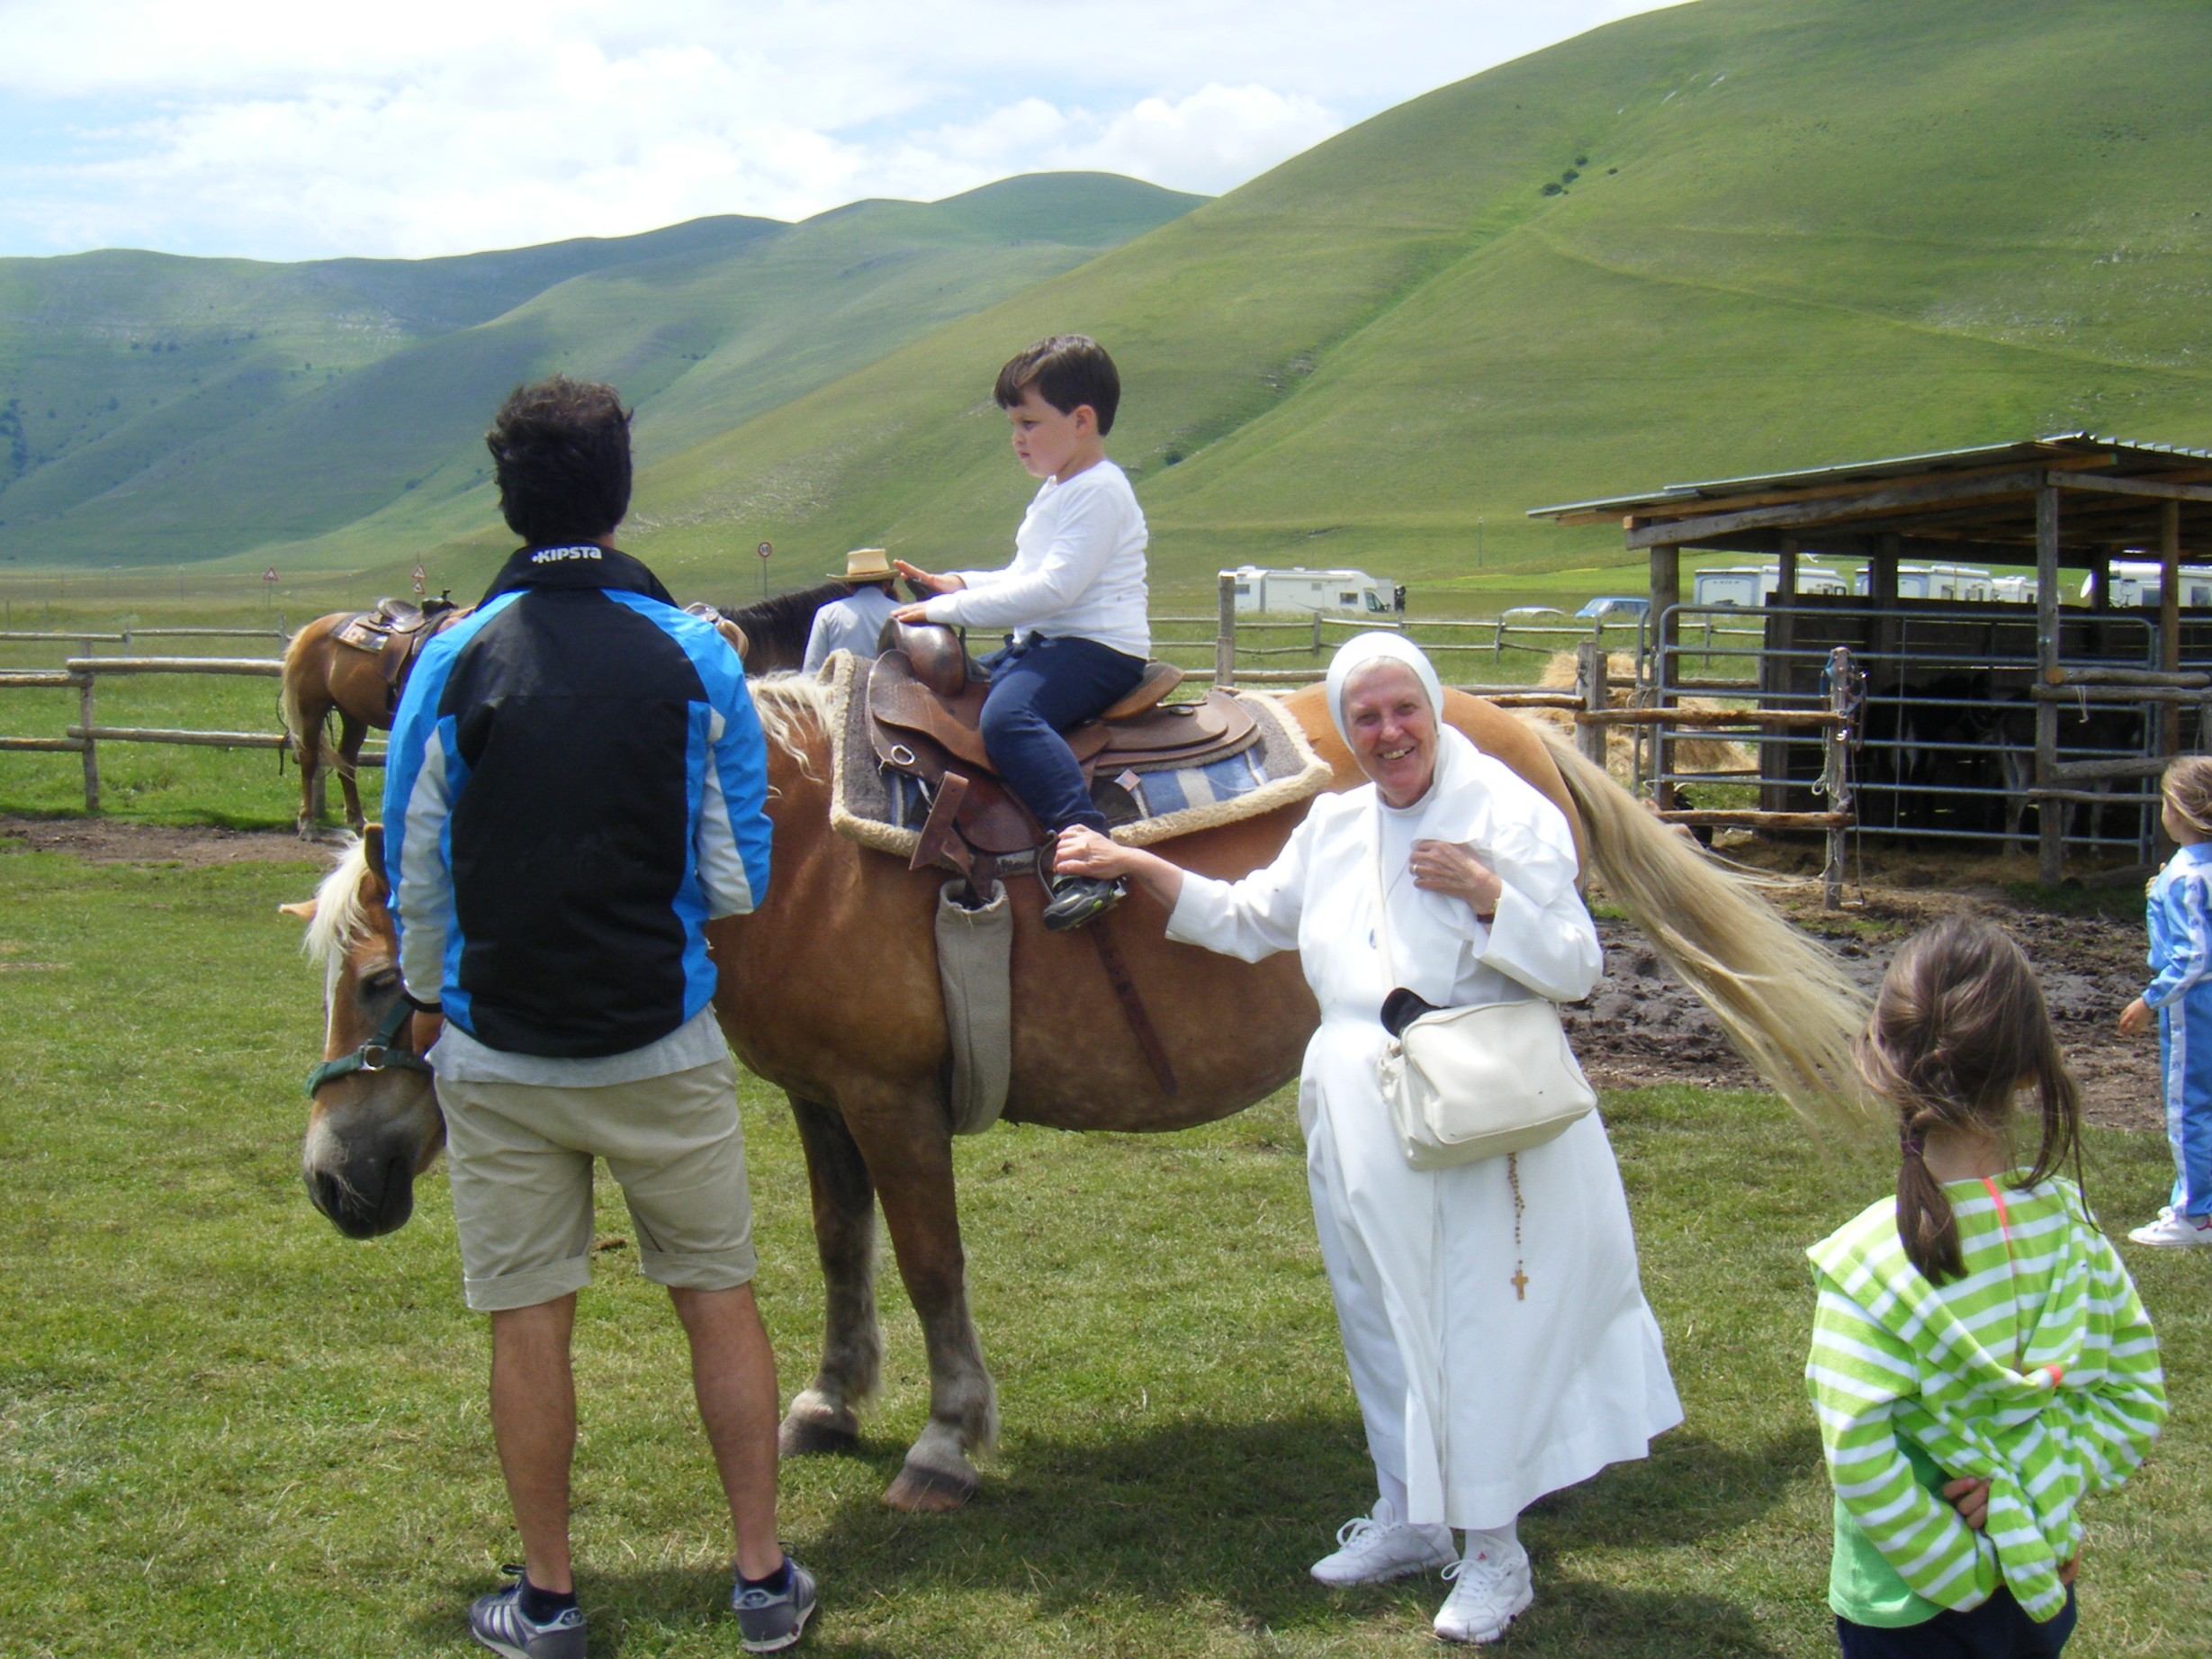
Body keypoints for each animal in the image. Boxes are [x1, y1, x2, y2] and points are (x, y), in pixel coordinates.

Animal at [289, 672, 1866, 1521]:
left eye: (372, 979)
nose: (329, 1177)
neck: (791, 840)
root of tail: (1531, 730)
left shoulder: (891, 1097)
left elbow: (929, 1259)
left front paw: (942, 1442)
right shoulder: (817, 1097)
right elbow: (843, 1249)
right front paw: (827, 1403)